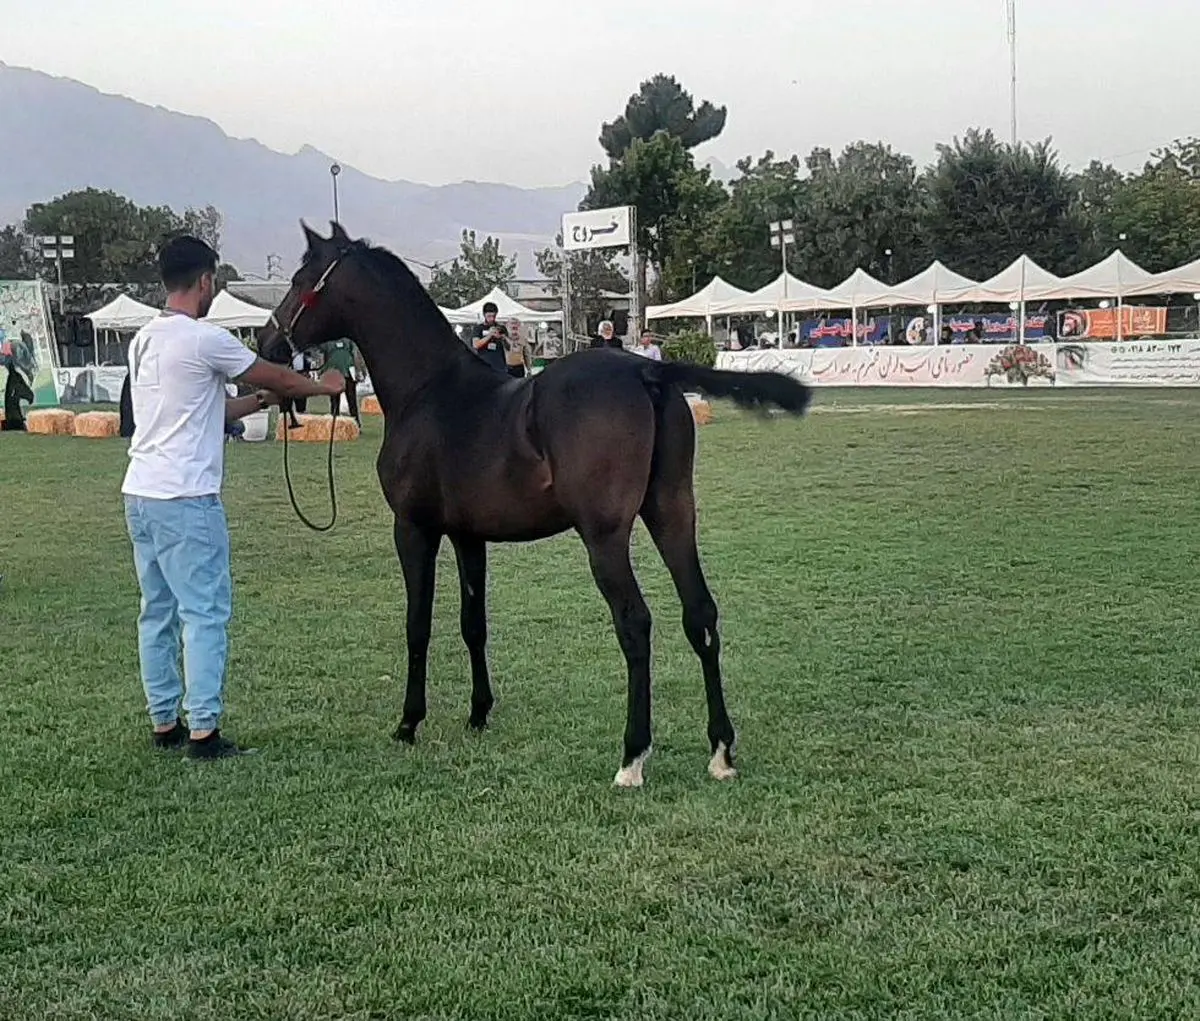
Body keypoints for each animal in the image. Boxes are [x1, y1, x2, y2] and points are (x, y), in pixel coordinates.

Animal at [258, 219, 811, 787]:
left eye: (301, 280)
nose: (267, 339)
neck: (430, 391)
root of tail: (647, 373)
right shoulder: (468, 536)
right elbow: (473, 623)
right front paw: (479, 713)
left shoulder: (413, 529)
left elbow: (418, 625)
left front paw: (409, 722)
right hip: (672, 515)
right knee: (700, 613)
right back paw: (720, 750)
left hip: (605, 536)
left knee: (635, 624)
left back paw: (632, 757)